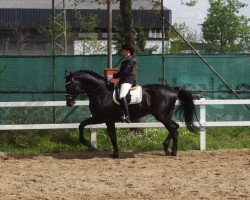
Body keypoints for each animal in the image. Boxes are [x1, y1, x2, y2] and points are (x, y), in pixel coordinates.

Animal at [65, 70, 198, 158]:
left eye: (71, 85)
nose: (69, 103)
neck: (101, 93)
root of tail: (173, 90)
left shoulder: (107, 119)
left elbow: (112, 136)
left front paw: (115, 154)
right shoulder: (98, 118)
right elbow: (81, 125)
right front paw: (86, 142)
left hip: (162, 116)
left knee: (174, 127)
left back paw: (170, 150)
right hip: (164, 116)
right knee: (174, 128)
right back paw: (169, 150)